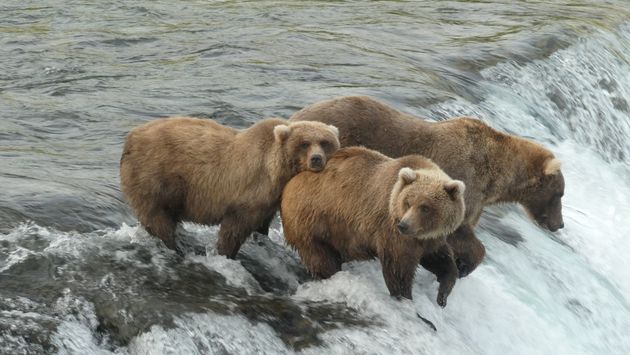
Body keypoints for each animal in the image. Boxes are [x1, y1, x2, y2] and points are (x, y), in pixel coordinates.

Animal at [121, 117, 344, 258]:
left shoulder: (269, 199)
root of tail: (130, 138)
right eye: (304, 143)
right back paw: (173, 246)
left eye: (325, 142)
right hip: (155, 176)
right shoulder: (249, 191)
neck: (277, 171)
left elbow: (262, 223)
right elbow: (235, 228)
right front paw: (225, 252)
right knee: (157, 217)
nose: (316, 159)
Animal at [284, 146, 466, 308]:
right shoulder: (393, 232)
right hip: (313, 222)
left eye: (425, 207)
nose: (404, 225)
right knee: (321, 259)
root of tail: (290, 183)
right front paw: (405, 298)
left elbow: (439, 259)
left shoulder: (429, 238)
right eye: (408, 202)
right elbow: (399, 268)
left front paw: (443, 295)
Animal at [292, 96, 568, 278]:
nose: (560, 224)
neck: (494, 176)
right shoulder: (463, 181)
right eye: (559, 194)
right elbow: (458, 234)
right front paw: (464, 265)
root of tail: (296, 116)